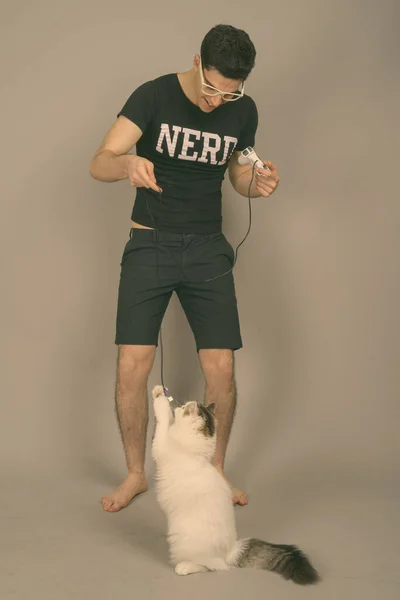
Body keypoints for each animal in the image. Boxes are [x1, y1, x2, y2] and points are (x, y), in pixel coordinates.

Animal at [152, 384, 320, 584]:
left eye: (184, 407)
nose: (178, 406)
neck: (197, 454)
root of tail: (232, 551)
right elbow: (167, 421)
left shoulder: (162, 444)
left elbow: (162, 418)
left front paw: (159, 396)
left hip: (187, 546)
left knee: (212, 566)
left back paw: (184, 567)